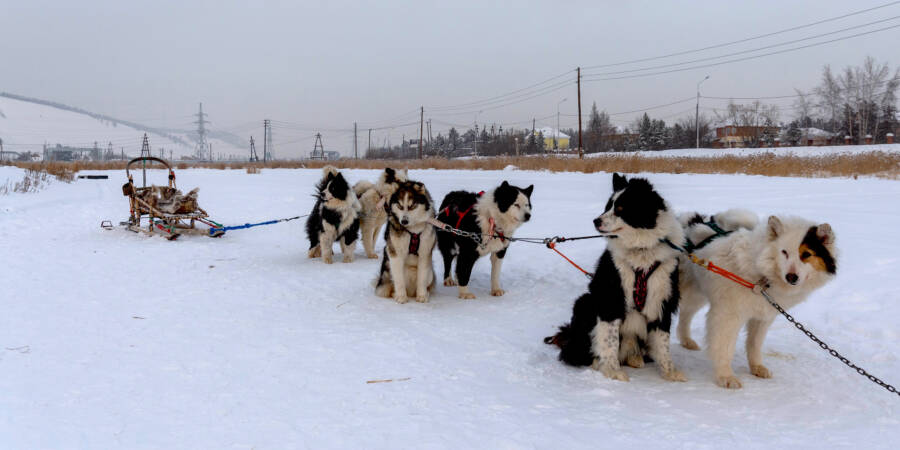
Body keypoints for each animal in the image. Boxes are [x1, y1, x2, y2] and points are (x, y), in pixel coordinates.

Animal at [544, 174, 684, 382]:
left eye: (620, 208)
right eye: (607, 206)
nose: (596, 221)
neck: (641, 250)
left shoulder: (661, 299)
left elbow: (663, 342)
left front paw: (670, 372)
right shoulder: (611, 298)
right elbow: (610, 340)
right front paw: (613, 371)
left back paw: (635, 358)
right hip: (585, 302)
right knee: (576, 353)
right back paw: (596, 362)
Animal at [676, 213, 836, 388]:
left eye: (806, 254)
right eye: (784, 252)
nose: (791, 277)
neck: (761, 277)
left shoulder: (763, 317)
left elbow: (754, 344)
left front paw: (757, 367)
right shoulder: (727, 316)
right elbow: (724, 347)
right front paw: (725, 376)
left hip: (696, 294)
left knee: (686, 314)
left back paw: (686, 341)